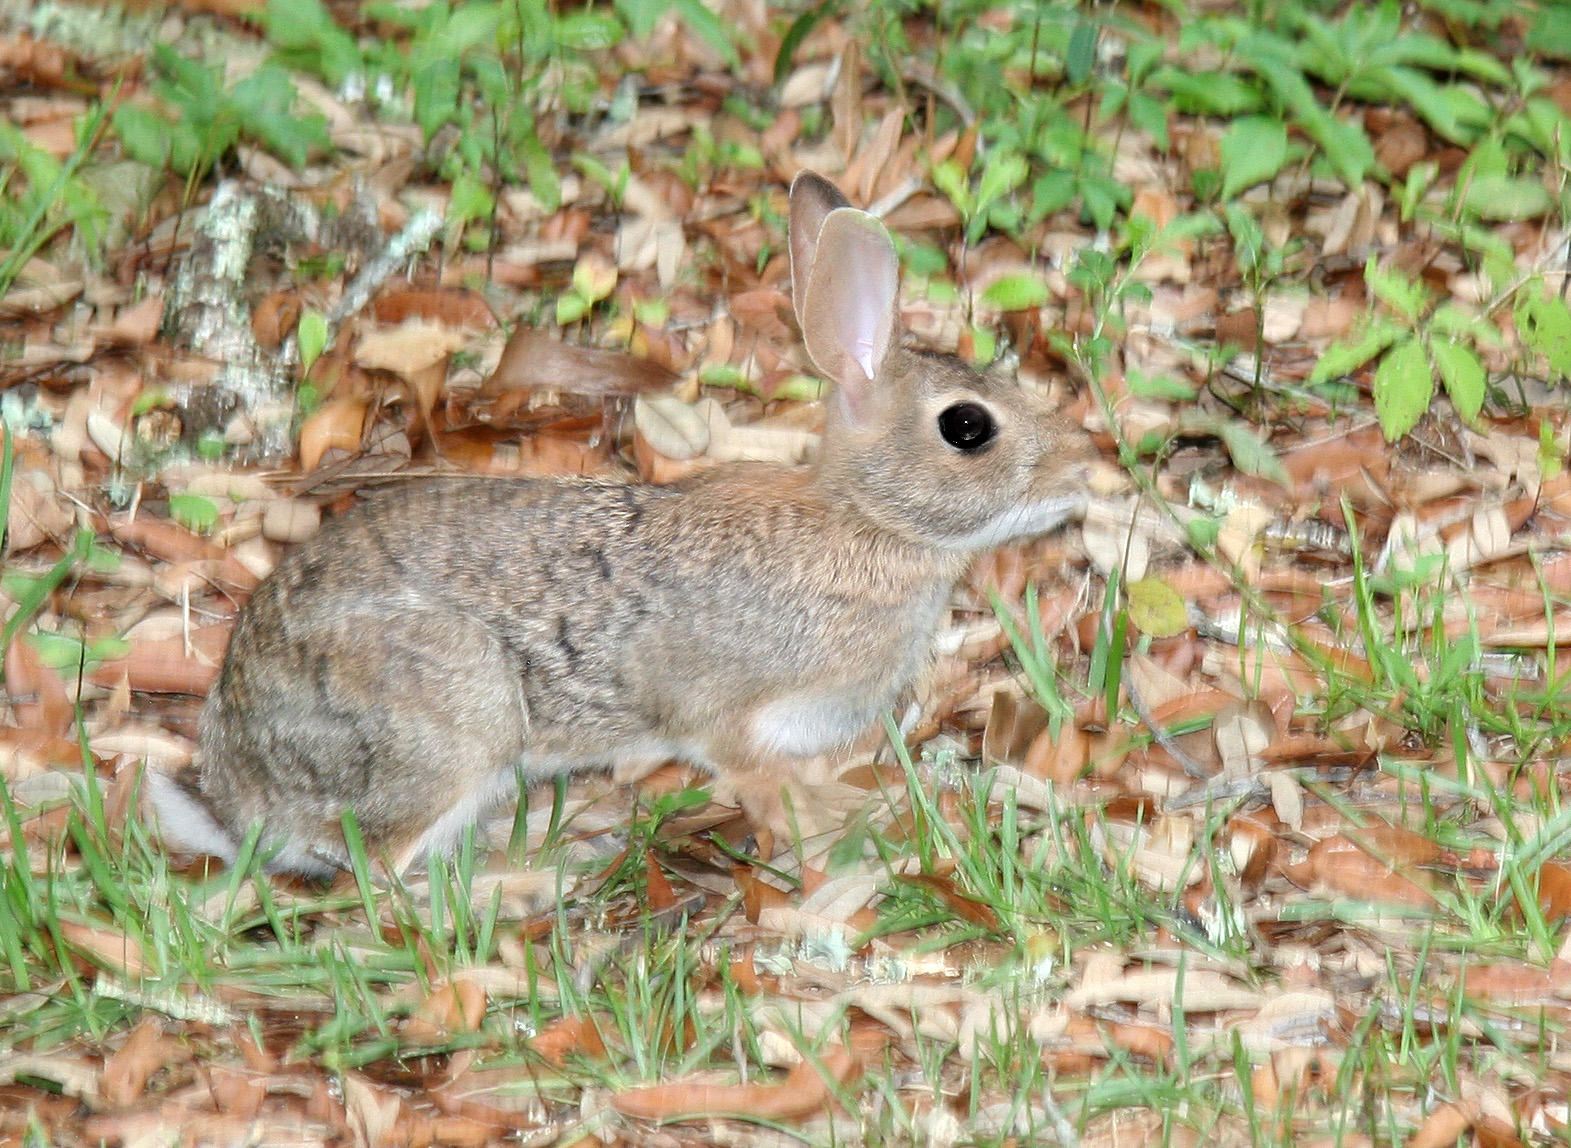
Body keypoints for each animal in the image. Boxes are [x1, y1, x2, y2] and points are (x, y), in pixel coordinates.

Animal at [153, 172, 1099, 879]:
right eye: (967, 427)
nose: (1082, 467)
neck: (865, 523)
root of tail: (241, 794)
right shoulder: (731, 720)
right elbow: (761, 783)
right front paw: (836, 827)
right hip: (453, 725)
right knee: (383, 870)